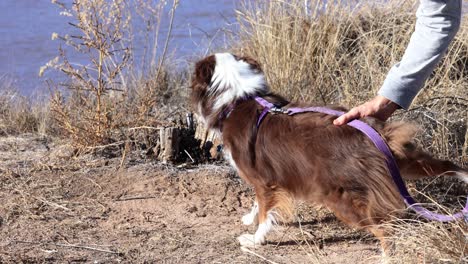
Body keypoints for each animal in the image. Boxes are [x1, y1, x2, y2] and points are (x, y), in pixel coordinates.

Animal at [190, 53, 468, 252]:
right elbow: (258, 204)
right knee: (448, 165)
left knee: (385, 229)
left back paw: (387, 256)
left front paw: (254, 239)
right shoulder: (268, 179)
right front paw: (250, 217)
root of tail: (374, 134)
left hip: (342, 199)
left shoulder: (264, 181)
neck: (239, 98)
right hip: (405, 162)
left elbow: (266, 211)